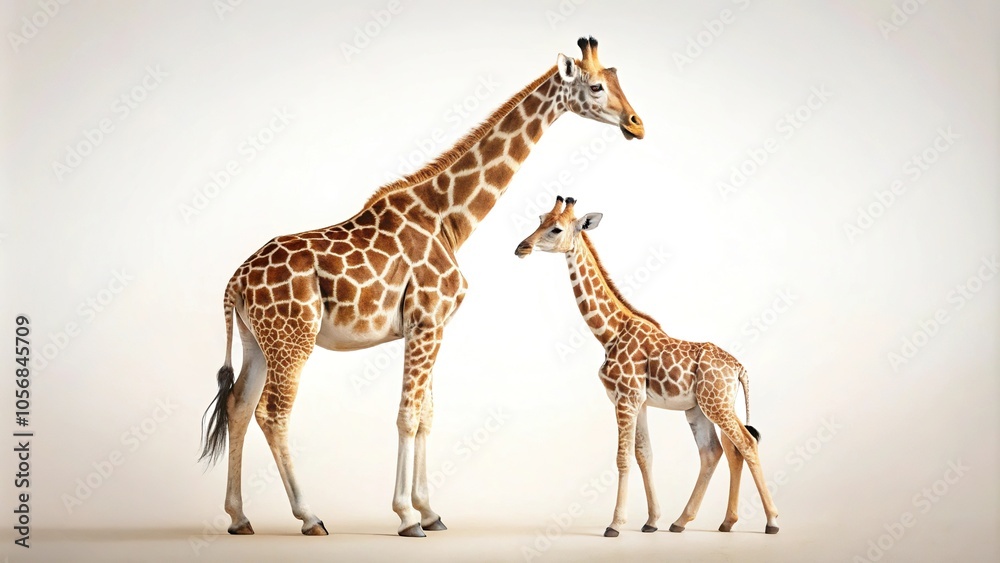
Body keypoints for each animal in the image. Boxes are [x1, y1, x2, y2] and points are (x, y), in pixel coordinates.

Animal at [199, 36, 644, 536]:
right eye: (596, 86)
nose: (637, 123)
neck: (449, 219)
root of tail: (235, 281)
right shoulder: (427, 320)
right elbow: (408, 415)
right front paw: (407, 515)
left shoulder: (432, 326)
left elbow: (428, 414)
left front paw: (431, 512)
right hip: (293, 338)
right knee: (273, 413)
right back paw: (310, 516)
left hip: (258, 339)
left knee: (238, 406)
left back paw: (239, 517)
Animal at [516, 197, 780, 536]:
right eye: (539, 219)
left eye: (556, 228)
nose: (521, 247)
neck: (609, 333)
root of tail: (739, 368)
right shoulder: (637, 401)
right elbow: (644, 455)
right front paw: (652, 521)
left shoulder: (625, 399)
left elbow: (623, 458)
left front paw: (615, 524)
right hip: (702, 407)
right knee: (717, 451)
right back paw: (700, 522)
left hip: (716, 403)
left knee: (745, 443)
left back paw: (771, 521)